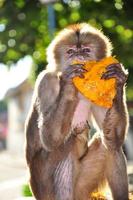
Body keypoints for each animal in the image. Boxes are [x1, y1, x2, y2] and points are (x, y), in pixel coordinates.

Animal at [25, 22, 129, 199]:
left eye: (86, 50)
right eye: (71, 51)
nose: (79, 56)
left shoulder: (97, 89)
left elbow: (113, 139)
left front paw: (118, 82)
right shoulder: (46, 81)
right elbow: (49, 139)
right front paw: (68, 84)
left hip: (81, 189)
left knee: (109, 145)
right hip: (44, 188)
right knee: (68, 143)